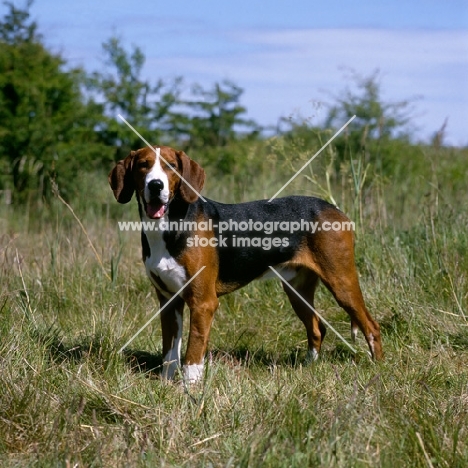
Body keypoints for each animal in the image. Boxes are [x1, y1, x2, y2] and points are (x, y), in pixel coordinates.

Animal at [109, 146, 380, 384]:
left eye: (171, 166)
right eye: (143, 165)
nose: (156, 185)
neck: (169, 226)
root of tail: (334, 208)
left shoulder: (203, 303)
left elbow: (193, 353)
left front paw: (190, 389)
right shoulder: (168, 301)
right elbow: (170, 353)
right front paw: (165, 385)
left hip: (341, 283)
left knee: (372, 327)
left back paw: (378, 369)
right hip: (297, 290)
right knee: (317, 329)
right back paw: (307, 368)